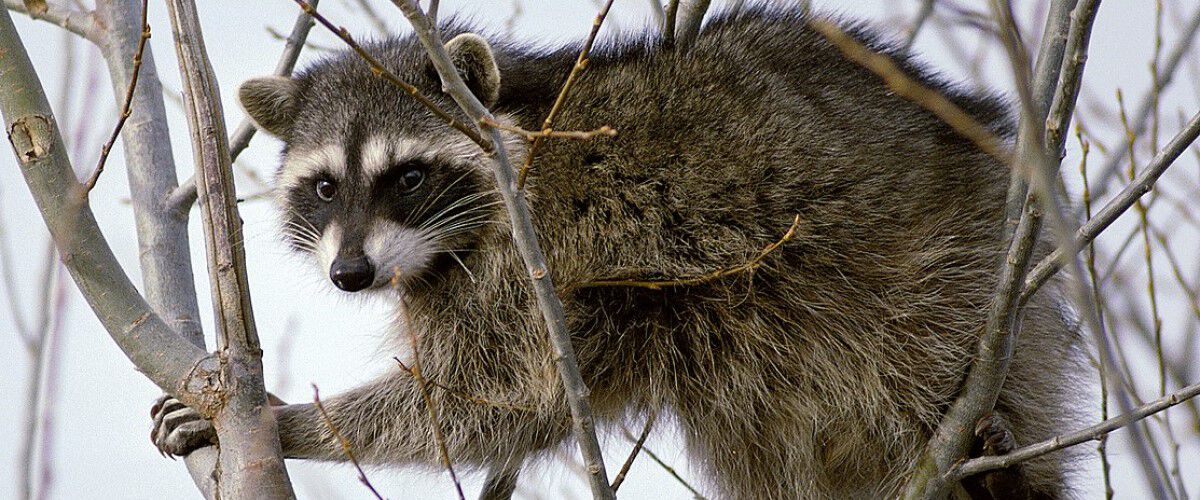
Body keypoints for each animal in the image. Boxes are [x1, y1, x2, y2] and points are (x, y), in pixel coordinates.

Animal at [152, 5, 1089, 496]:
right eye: (322, 189)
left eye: (407, 176)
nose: (351, 274)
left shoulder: (536, 259)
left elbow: (487, 396)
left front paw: (293, 420)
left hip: (939, 268)